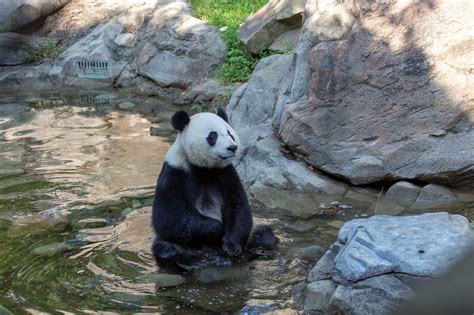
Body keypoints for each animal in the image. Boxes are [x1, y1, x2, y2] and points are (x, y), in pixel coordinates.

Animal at [152, 108, 278, 270]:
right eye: (213, 135)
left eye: (230, 133)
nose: (232, 147)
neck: (203, 168)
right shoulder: (174, 173)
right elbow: (169, 218)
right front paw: (217, 228)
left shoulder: (226, 173)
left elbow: (238, 207)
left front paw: (231, 247)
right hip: (174, 244)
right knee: (167, 249)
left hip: (255, 231)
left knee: (264, 235)